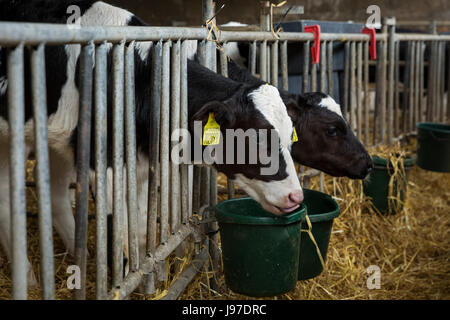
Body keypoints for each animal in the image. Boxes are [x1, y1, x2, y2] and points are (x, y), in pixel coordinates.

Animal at [0, 0, 302, 284]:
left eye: (290, 137)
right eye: (258, 139)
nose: (296, 197)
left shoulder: (141, 168)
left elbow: (141, 234)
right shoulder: (105, 165)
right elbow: (118, 238)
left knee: (49, 191)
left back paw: (76, 260)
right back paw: (29, 276)